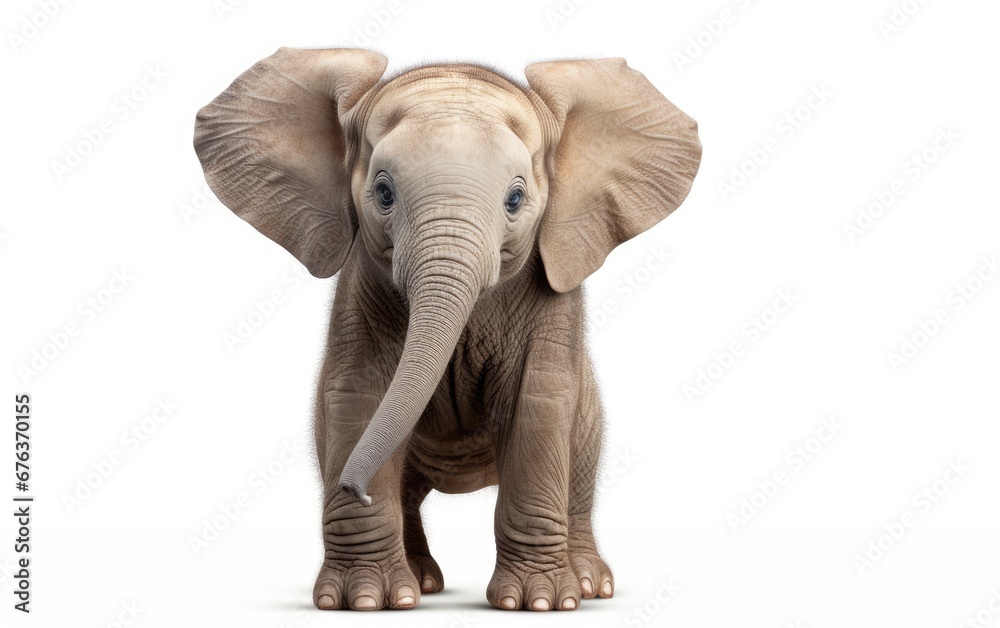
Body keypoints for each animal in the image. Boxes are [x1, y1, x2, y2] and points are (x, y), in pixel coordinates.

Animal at [194, 47, 700, 612]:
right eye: (383, 192)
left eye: (515, 200)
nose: (352, 487)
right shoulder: (360, 291)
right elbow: (359, 395)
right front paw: (363, 602)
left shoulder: (555, 298)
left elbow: (536, 403)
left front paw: (541, 603)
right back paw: (421, 584)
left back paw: (591, 586)